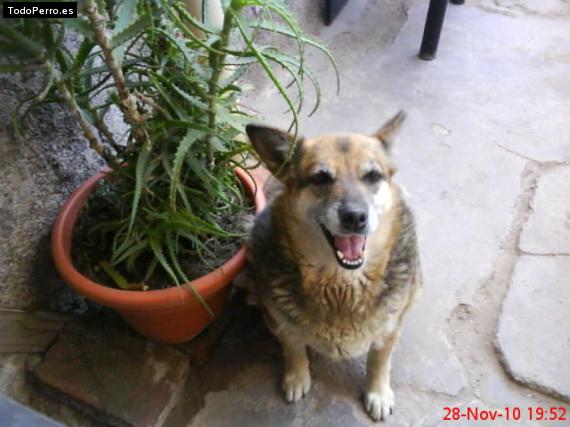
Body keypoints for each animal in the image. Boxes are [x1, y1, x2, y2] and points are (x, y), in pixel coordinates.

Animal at [240, 112, 418, 422]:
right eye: (320, 178)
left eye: (373, 176)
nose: (355, 217)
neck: (341, 284)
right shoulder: (280, 322)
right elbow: (294, 347)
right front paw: (297, 376)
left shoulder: (390, 328)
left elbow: (380, 360)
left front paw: (378, 391)